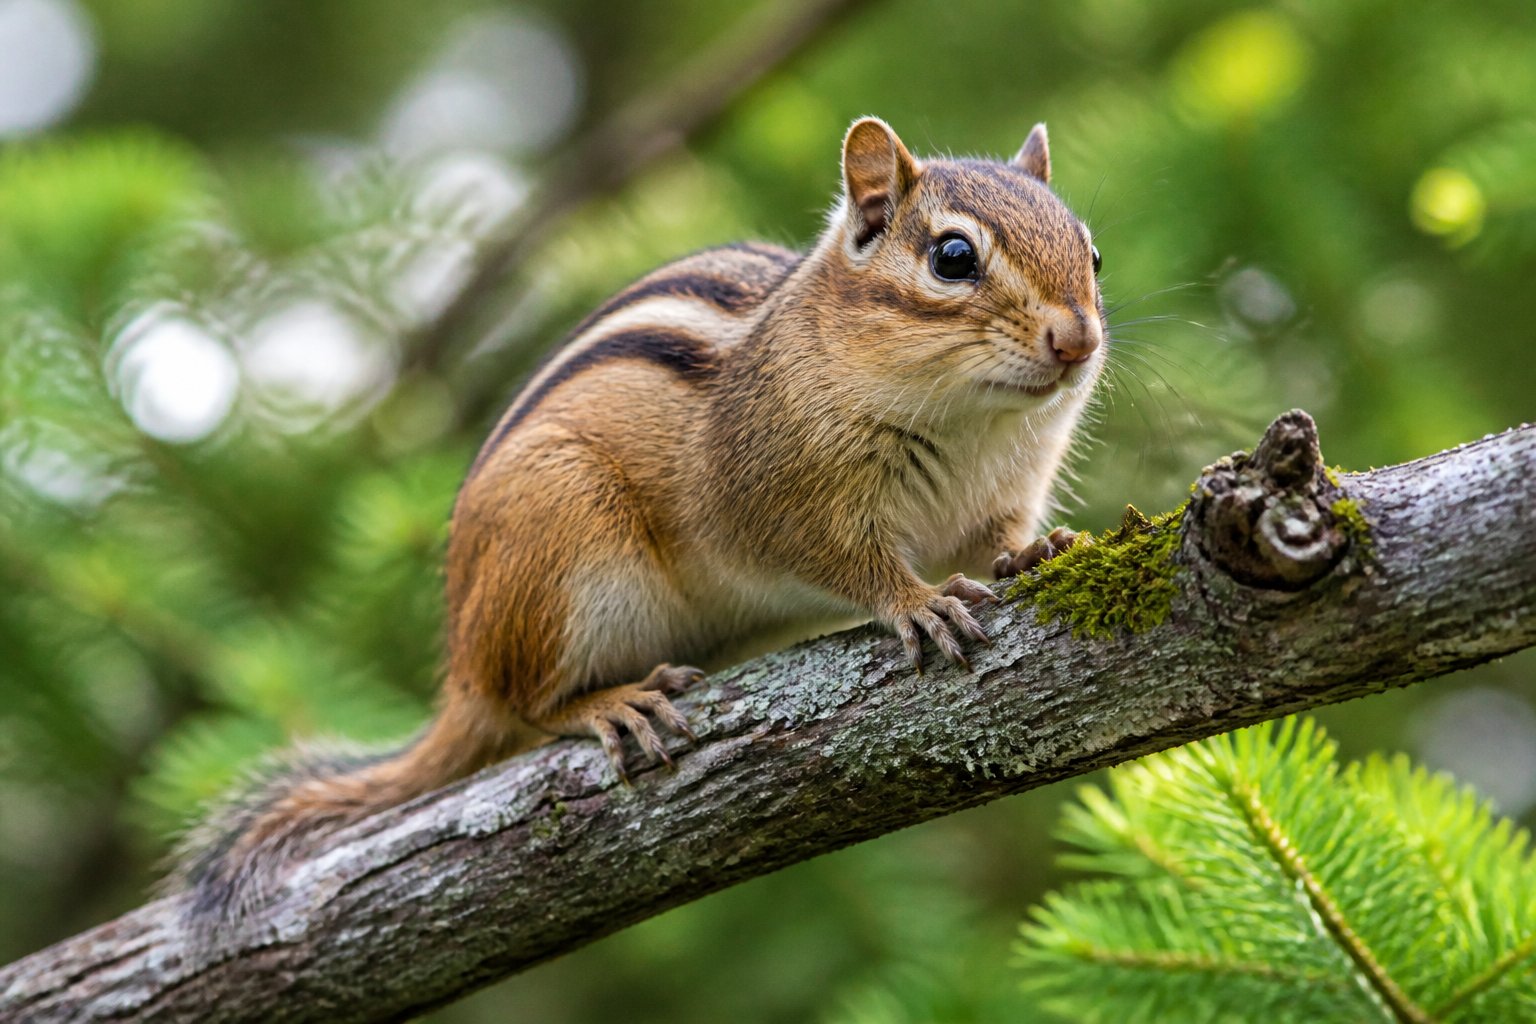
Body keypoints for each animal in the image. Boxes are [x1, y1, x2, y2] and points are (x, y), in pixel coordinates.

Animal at [170, 117, 1106, 922]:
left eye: (1091, 251)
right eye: (953, 257)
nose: (1079, 341)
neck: (972, 422)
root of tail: (462, 665)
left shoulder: (1000, 493)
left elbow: (999, 538)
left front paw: (1043, 549)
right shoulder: (778, 497)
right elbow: (851, 564)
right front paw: (917, 602)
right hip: (560, 548)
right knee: (523, 705)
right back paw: (609, 705)